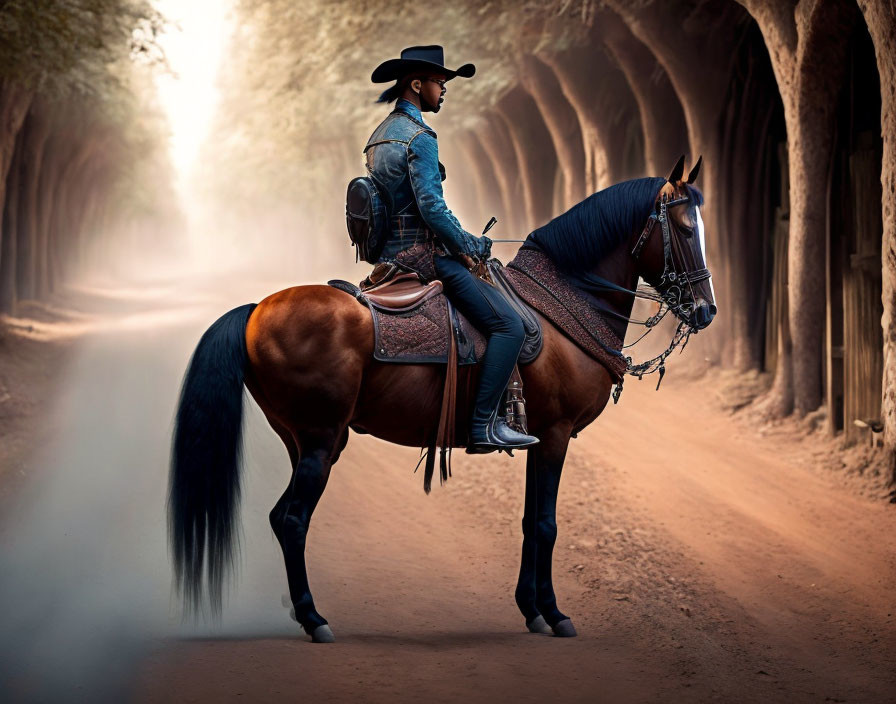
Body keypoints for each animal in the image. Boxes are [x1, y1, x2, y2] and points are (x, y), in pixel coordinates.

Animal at [166, 157, 712, 640]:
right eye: (686, 231)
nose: (706, 310)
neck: (562, 304)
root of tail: (256, 309)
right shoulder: (556, 435)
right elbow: (546, 524)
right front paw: (555, 614)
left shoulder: (539, 439)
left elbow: (528, 522)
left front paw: (532, 609)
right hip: (322, 440)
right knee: (292, 519)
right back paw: (315, 619)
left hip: (299, 439)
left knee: (283, 516)